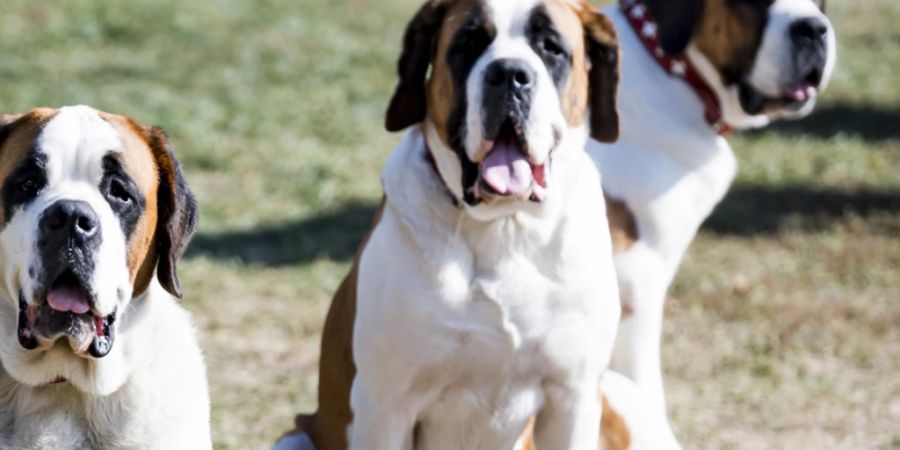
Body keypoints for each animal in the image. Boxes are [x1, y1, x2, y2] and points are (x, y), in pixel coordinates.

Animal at [278, 0, 624, 450]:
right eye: (469, 43)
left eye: (550, 47)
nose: (509, 74)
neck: (503, 228)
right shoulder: (386, 407)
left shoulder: (573, 398)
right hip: (295, 436)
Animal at [584, 0, 836, 444]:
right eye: (754, 3)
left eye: (822, 5)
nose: (812, 29)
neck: (674, 75)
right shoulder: (635, 280)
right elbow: (646, 385)